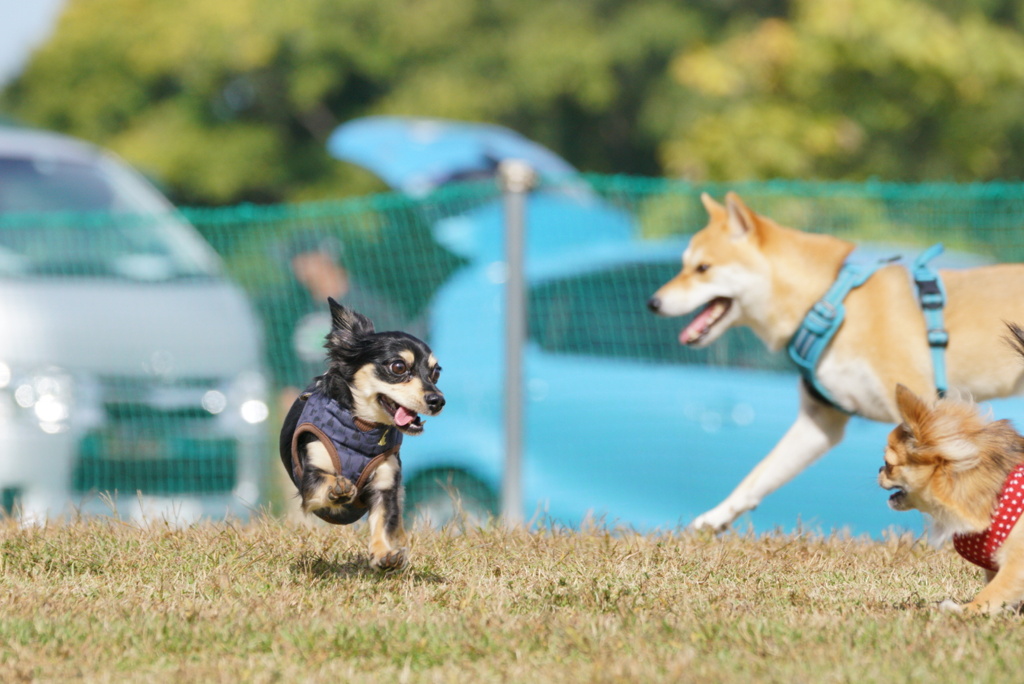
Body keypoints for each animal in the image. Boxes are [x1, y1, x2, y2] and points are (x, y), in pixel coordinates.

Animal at [280, 301, 444, 573]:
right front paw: (338, 486)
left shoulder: (386, 484)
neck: (362, 429)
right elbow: (324, 482)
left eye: (435, 373)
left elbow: (384, 521)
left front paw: (384, 553)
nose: (438, 400)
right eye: (398, 367)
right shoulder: (310, 480)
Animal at [651, 192, 1024, 532]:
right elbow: (759, 476)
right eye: (684, 265)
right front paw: (714, 519)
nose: (653, 302)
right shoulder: (819, 423)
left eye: (703, 268)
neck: (827, 303)